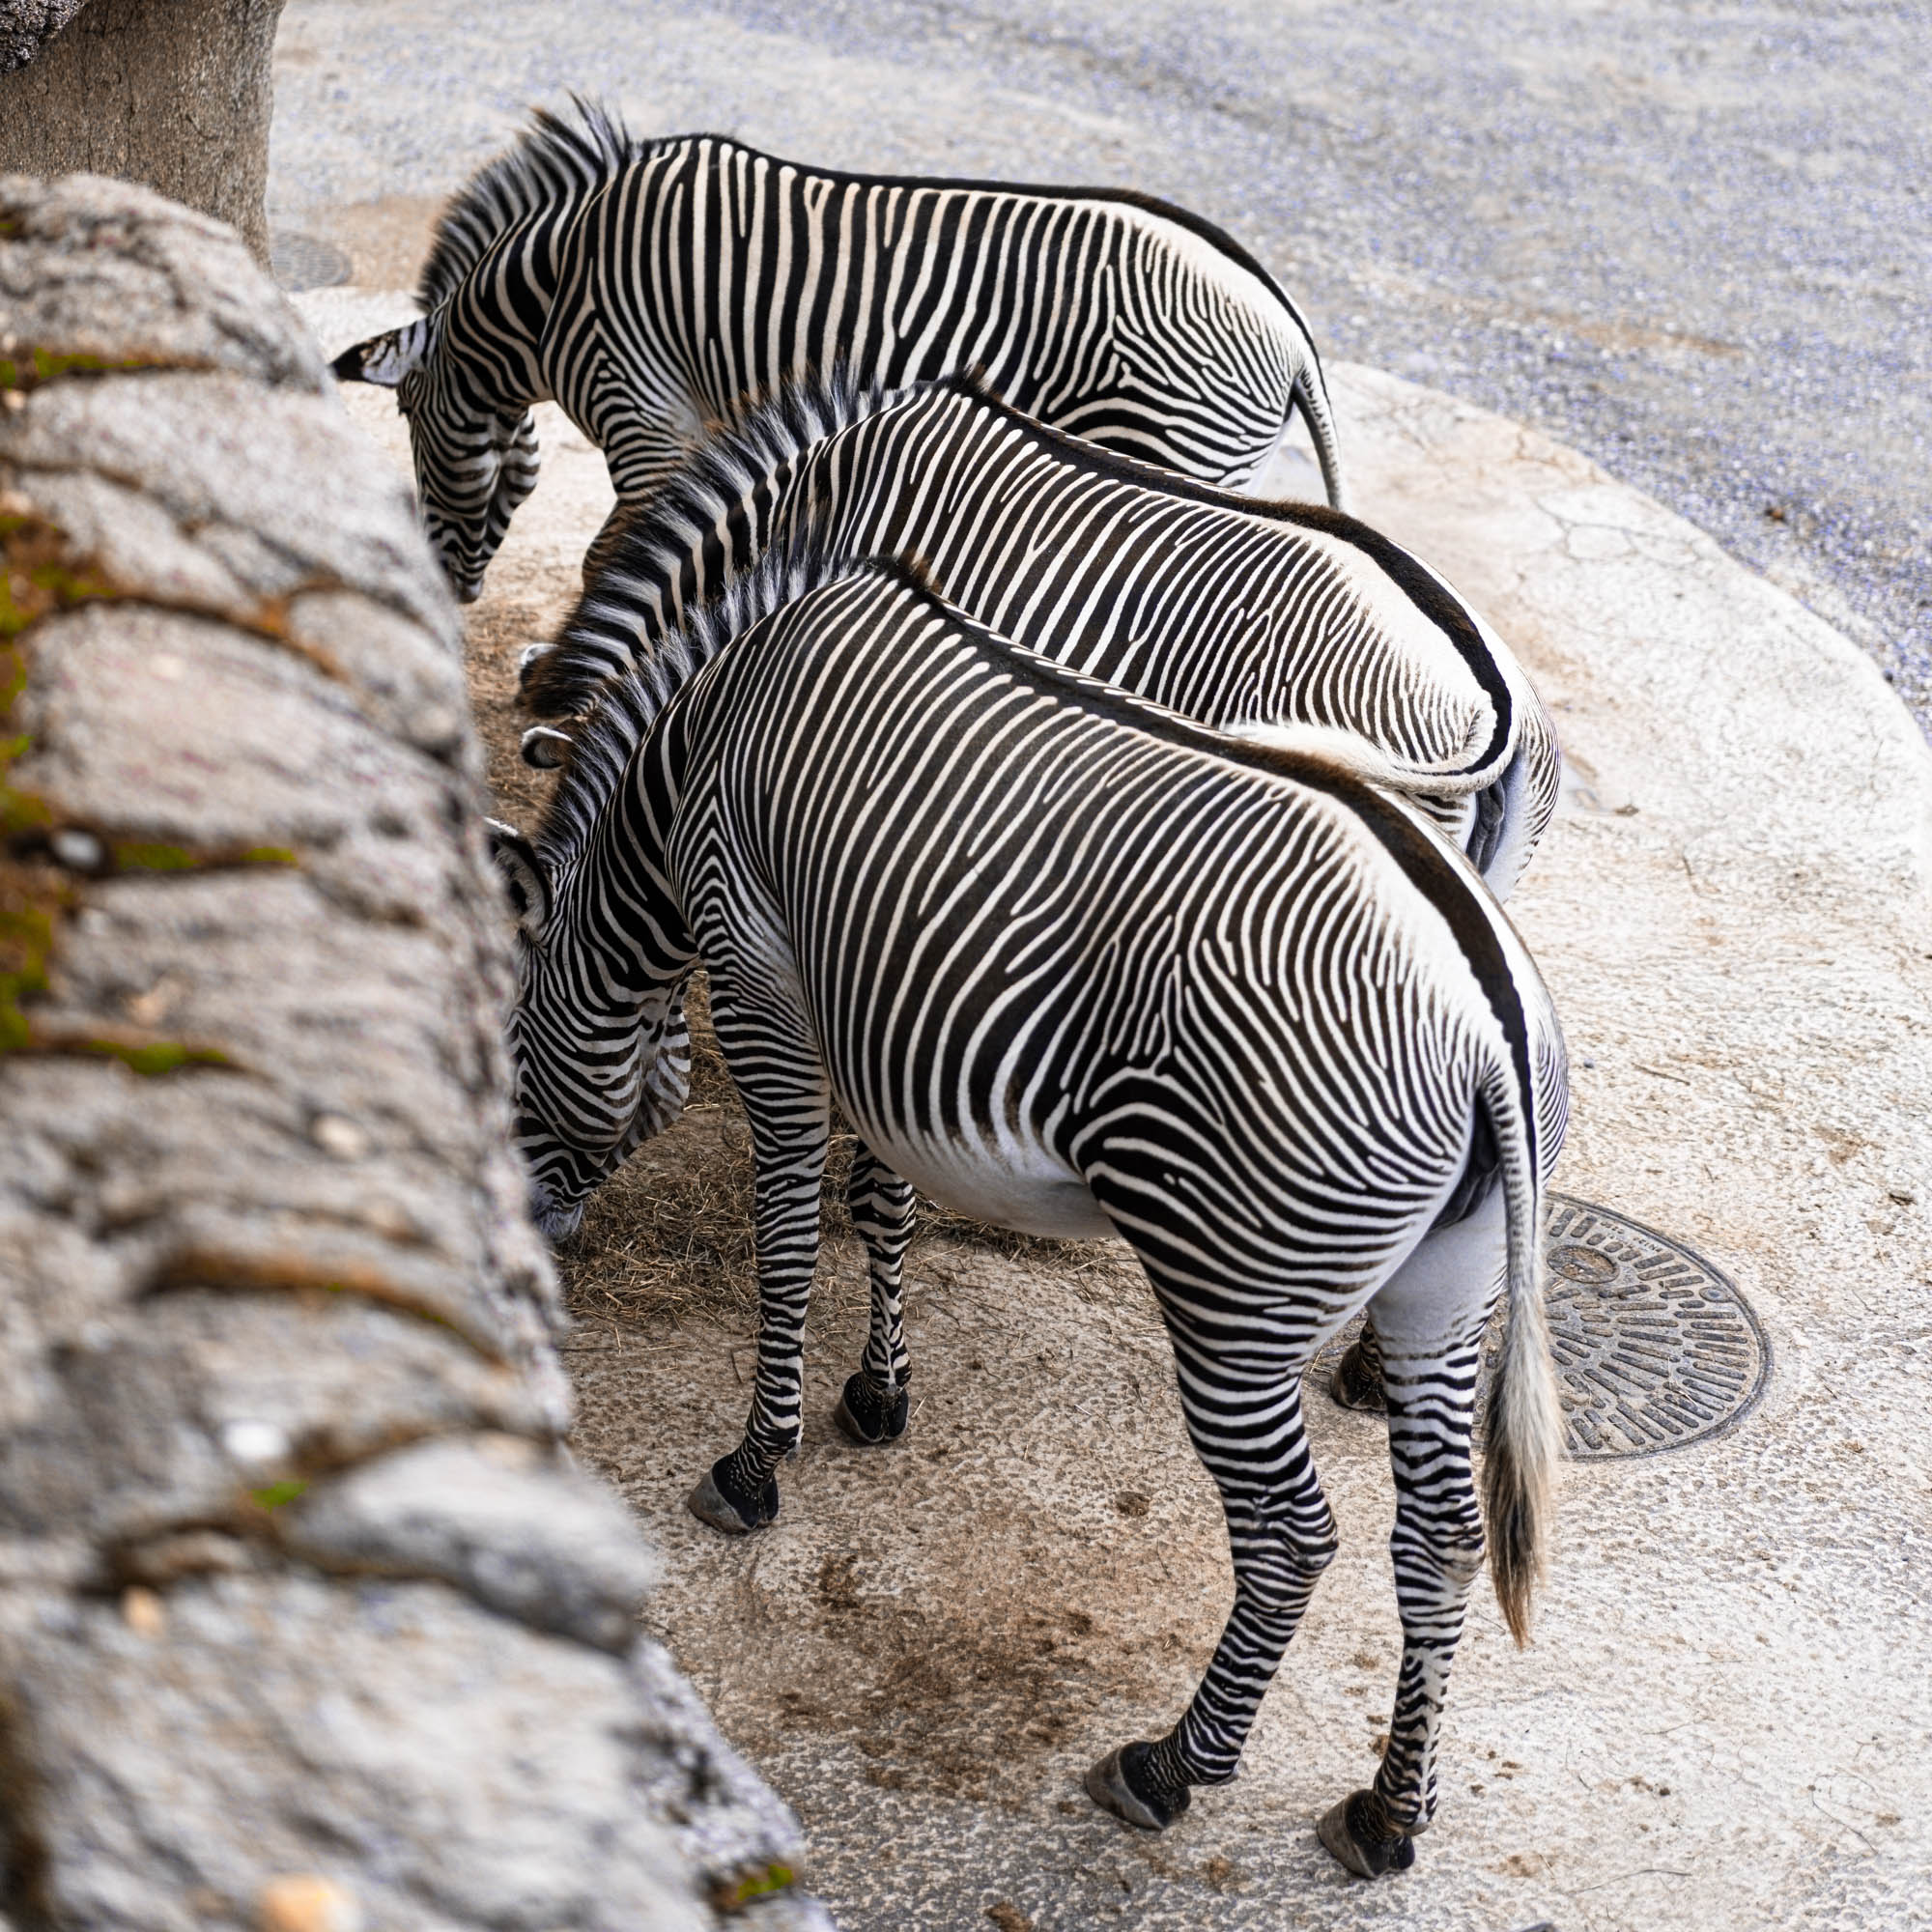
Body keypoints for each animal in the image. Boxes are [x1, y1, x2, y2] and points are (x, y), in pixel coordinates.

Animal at [327, 99, 1347, 603]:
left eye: (410, 428)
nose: (450, 593)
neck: (552, 288)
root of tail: (1293, 333)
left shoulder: (641, 411)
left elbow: (614, 552)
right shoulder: (707, 426)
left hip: (1165, 445)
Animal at [489, 551, 1569, 1878]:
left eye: (501, 1048)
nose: (529, 1244)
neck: (693, 749)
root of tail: (1487, 1031)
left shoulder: (759, 971)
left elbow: (788, 1220)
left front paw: (754, 1462)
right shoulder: (878, 1013)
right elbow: (882, 1198)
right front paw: (877, 1393)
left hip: (1239, 1295)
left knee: (1291, 1533)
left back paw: (1167, 1767)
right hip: (1439, 1292)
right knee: (1441, 1535)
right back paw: (1385, 1810)